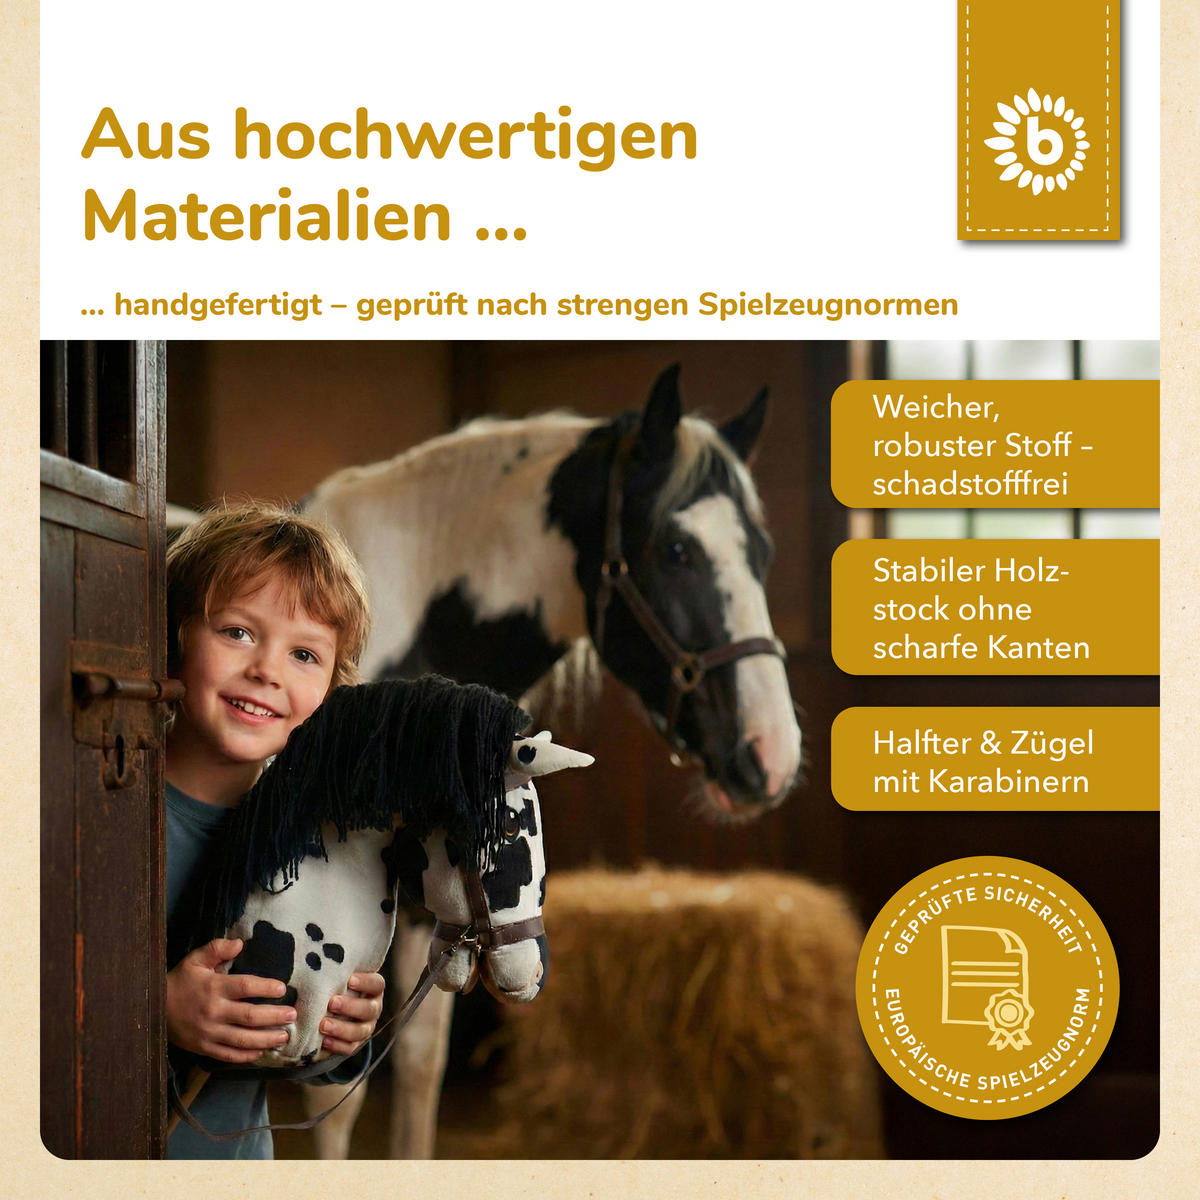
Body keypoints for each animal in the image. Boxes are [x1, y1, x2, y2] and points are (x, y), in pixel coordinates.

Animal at [296, 364, 802, 1155]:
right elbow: (336, 1093)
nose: (771, 755)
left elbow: (418, 1070)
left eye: (763, 553)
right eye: (676, 550)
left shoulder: (433, 902)